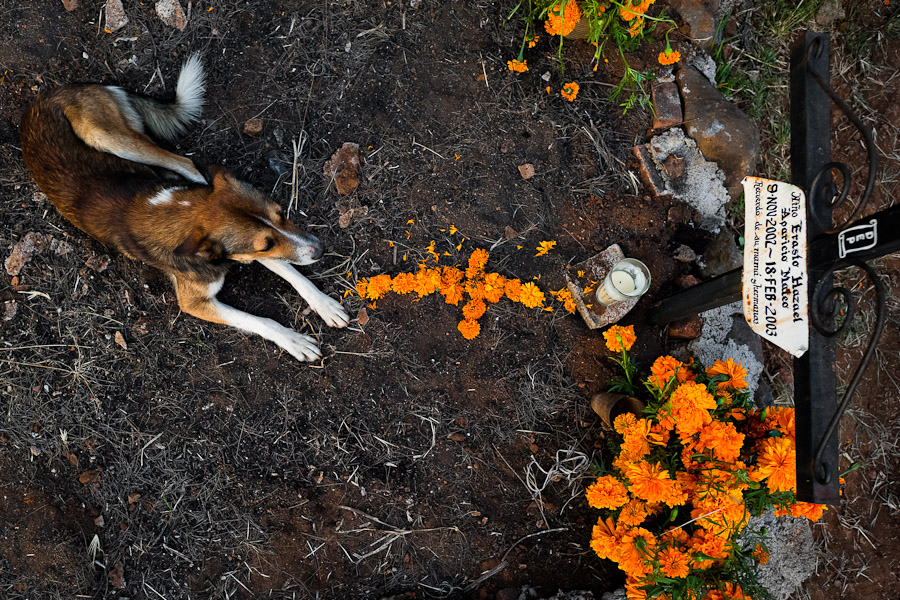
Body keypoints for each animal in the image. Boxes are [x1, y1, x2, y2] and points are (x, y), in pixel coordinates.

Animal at [18, 56, 348, 360]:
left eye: (282, 212)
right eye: (264, 245)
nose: (320, 250)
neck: (187, 211)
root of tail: (51, 92)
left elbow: (294, 272)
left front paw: (324, 304)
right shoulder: (198, 301)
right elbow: (263, 320)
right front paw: (294, 341)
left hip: (111, 138)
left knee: (187, 164)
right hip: (104, 135)